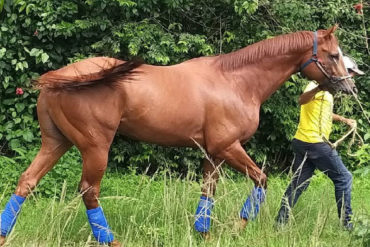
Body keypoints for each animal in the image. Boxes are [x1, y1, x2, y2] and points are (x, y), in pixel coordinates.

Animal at [0, 26, 356, 246]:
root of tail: (56, 76)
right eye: (334, 55)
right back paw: (110, 240)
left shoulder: (213, 152)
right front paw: (237, 228)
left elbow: (208, 192)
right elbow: (261, 180)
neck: (235, 81)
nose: (350, 87)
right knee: (89, 190)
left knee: (26, 182)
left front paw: (205, 234)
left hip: (56, 143)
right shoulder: (228, 147)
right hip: (95, 147)